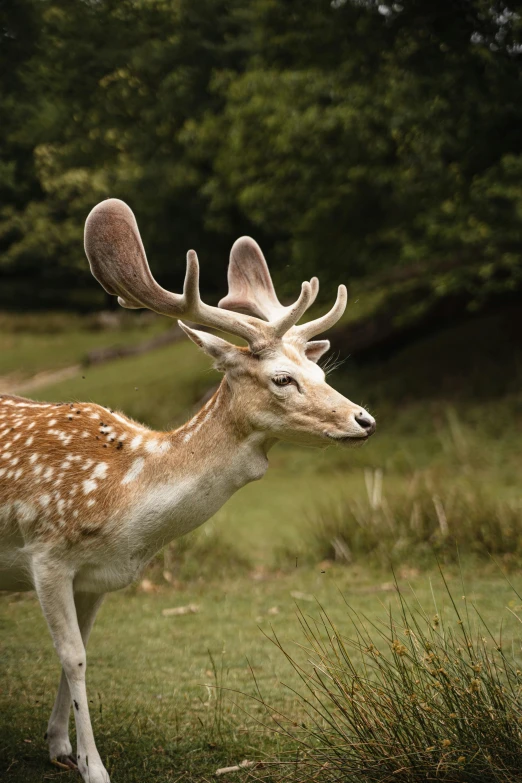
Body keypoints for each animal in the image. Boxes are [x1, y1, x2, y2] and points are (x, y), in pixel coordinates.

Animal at [0, 201, 374, 783]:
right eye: (282, 378)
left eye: (319, 369)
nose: (364, 419)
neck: (122, 504)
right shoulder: (46, 554)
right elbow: (73, 656)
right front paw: (95, 767)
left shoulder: (95, 576)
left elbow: (80, 648)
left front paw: (60, 746)